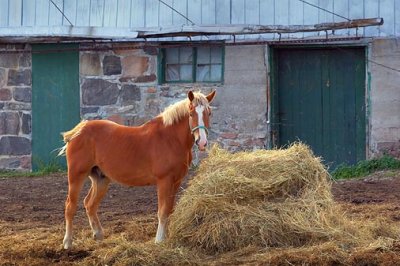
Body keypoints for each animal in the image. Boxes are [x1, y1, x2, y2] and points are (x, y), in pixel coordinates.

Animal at [58, 91, 216, 249]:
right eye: (191, 113)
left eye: (209, 113)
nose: (202, 142)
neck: (170, 139)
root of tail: (78, 131)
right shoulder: (164, 181)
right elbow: (163, 211)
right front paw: (159, 240)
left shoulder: (176, 182)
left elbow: (170, 210)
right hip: (76, 176)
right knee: (70, 206)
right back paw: (67, 242)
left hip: (101, 179)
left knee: (89, 204)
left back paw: (98, 235)